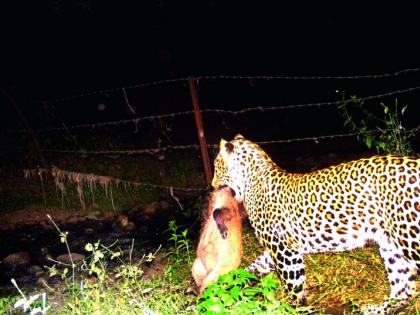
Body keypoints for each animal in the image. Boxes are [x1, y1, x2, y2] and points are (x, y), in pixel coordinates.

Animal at [212, 134, 418, 315]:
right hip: (390, 245)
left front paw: (300, 310)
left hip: (410, 237)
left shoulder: (285, 252)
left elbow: (294, 287)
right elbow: (256, 266)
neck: (250, 182)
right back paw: (376, 310)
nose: (212, 185)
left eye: (216, 166)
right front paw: (232, 282)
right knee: (405, 289)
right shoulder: (279, 248)